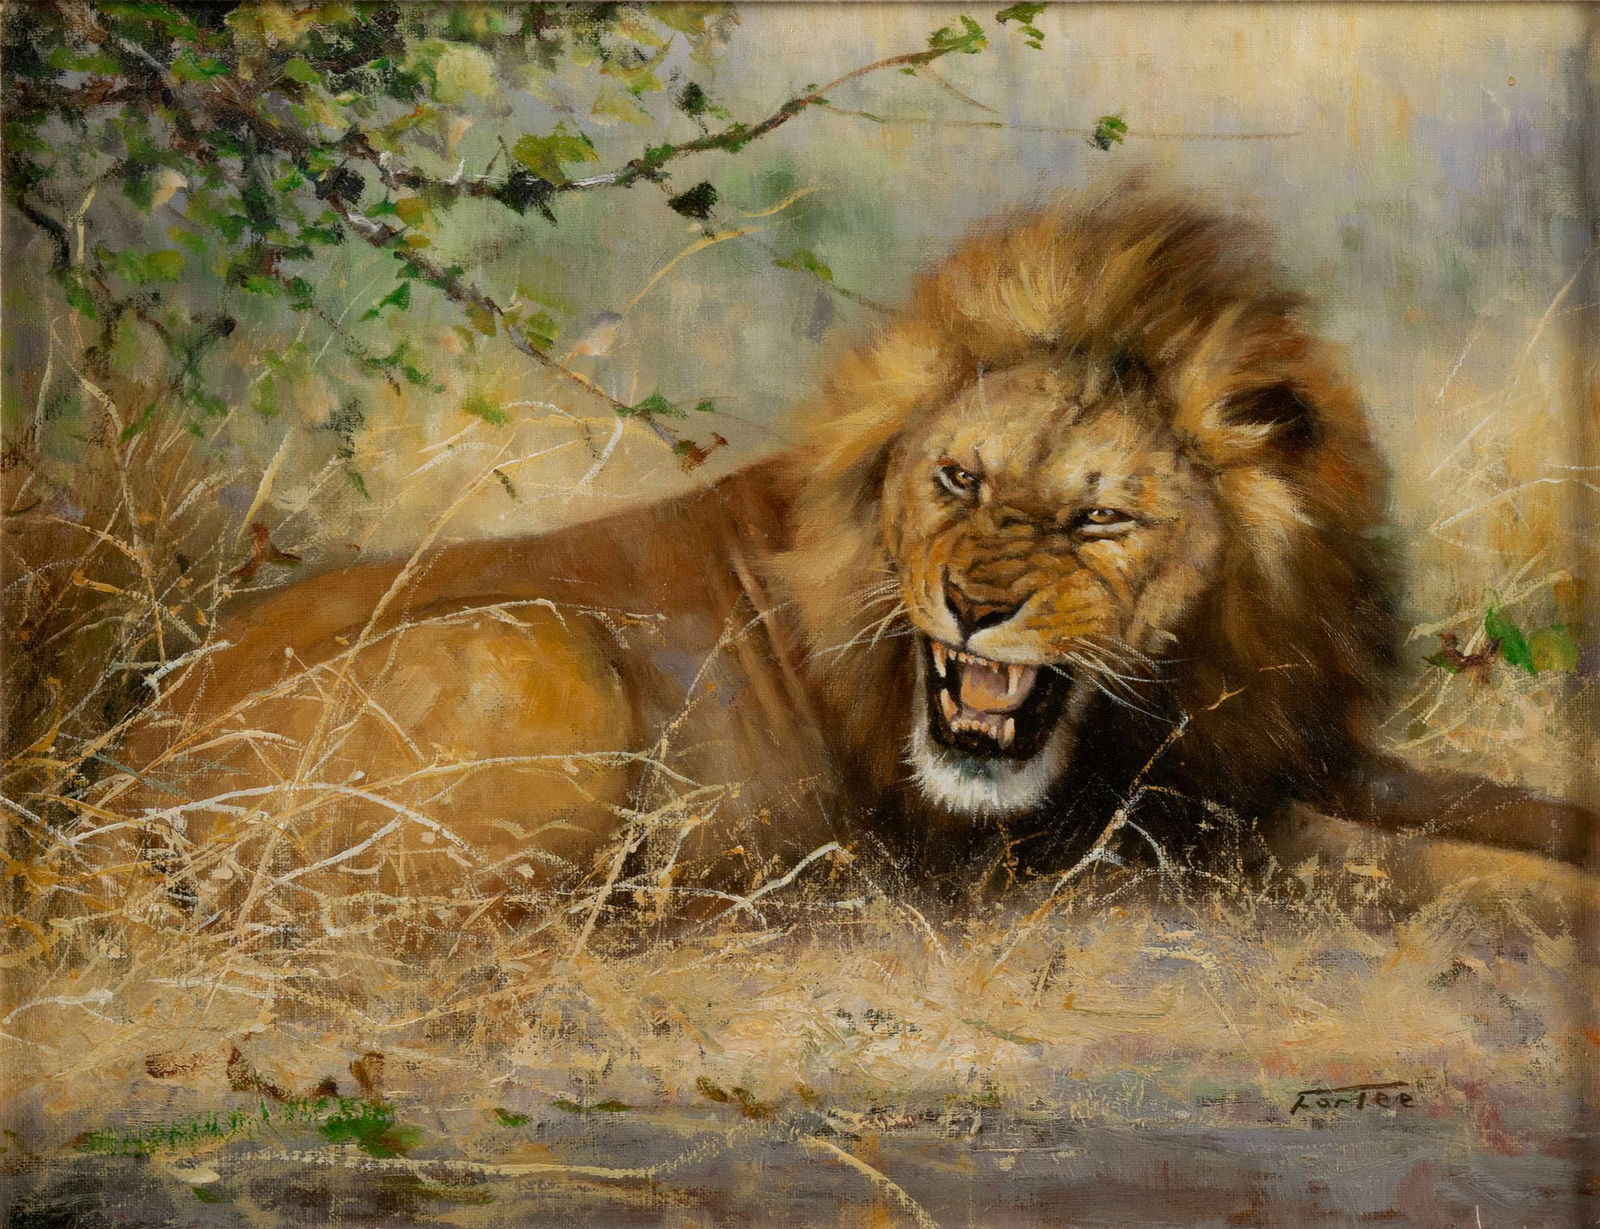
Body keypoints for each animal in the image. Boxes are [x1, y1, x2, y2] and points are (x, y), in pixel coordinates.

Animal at [107, 189, 1593, 930]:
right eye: (958, 478)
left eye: (1100, 520)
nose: (975, 605)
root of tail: (123, 782)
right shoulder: (1084, 847)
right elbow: (1379, 861)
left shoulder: (1284, 758)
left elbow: (1475, 810)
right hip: (543, 643)